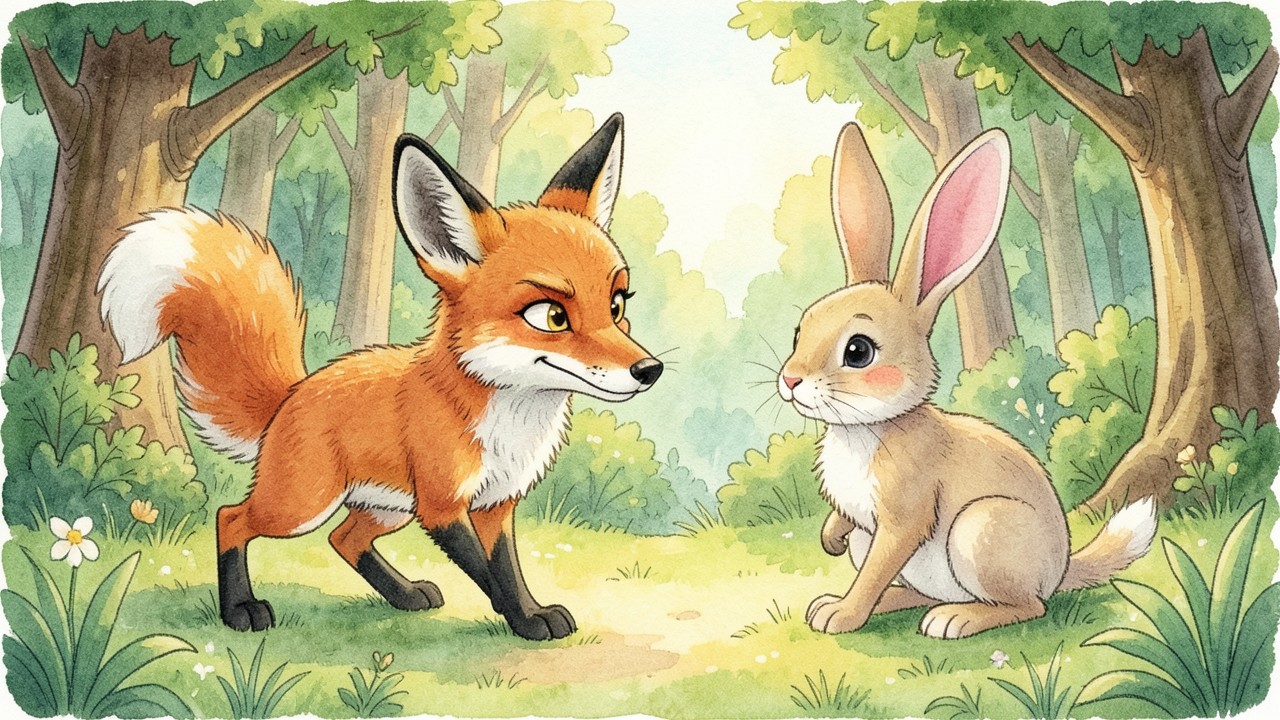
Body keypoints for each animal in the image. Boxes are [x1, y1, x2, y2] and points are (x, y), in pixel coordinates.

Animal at [97, 114, 661, 640]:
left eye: (617, 305)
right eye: (551, 317)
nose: (649, 370)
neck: (509, 421)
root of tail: (292, 394)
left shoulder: (496, 505)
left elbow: (507, 570)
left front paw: (528, 612)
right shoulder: (441, 506)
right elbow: (487, 573)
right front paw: (521, 622)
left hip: (385, 509)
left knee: (343, 540)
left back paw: (404, 595)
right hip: (302, 505)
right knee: (232, 518)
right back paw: (241, 610)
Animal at [777, 123, 1157, 639]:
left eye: (858, 351)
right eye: (801, 329)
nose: (791, 380)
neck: (870, 428)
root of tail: (1059, 571)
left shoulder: (903, 517)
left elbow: (877, 568)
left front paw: (840, 616)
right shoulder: (862, 522)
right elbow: (851, 537)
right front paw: (829, 544)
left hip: (981, 532)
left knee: (1027, 606)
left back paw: (955, 619)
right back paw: (901, 603)